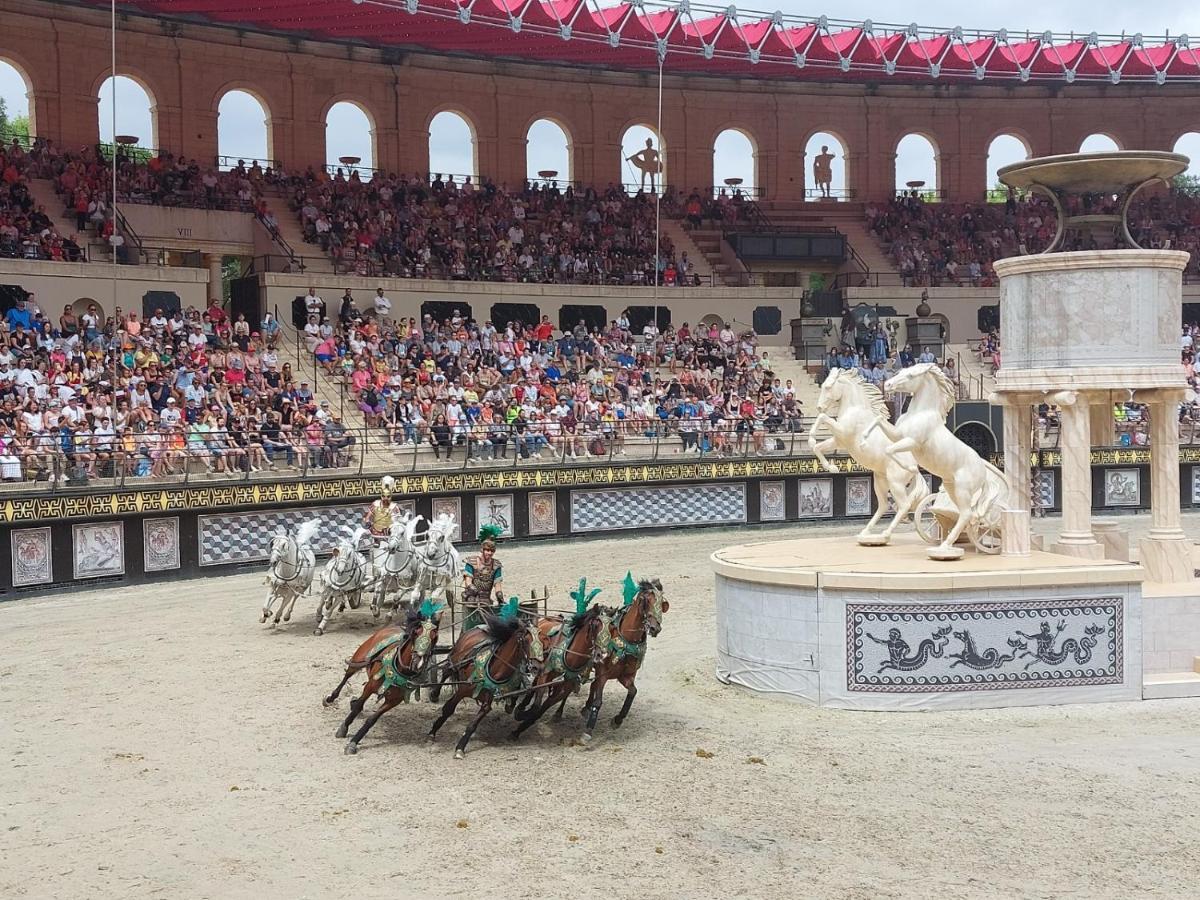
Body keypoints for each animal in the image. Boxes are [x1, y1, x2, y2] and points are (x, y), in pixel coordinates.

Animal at [324, 602, 446, 758]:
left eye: (435, 637)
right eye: (416, 633)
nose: (417, 662)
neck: (398, 670)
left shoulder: (393, 701)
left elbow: (372, 719)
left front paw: (354, 742)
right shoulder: (370, 686)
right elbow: (359, 707)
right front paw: (343, 728)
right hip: (359, 657)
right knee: (347, 676)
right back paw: (331, 698)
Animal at [427, 602, 544, 758]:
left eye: (543, 640)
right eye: (525, 640)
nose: (538, 667)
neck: (494, 671)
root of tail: (477, 628)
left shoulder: (487, 702)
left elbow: (473, 725)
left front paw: (460, 748)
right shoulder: (462, 691)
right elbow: (448, 709)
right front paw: (432, 732)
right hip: (455, 659)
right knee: (446, 670)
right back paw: (434, 693)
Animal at [580, 580, 667, 744]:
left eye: (662, 603)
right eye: (645, 601)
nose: (655, 628)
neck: (626, 643)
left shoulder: (626, 676)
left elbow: (633, 692)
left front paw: (618, 719)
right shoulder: (603, 674)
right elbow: (598, 701)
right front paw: (587, 731)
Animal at [811, 367, 931, 542]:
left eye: (828, 387)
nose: (819, 407)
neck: (855, 409)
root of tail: (914, 467)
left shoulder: (842, 433)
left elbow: (823, 418)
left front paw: (812, 435)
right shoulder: (839, 441)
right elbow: (817, 447)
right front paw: (832, 468)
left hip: (895, 484)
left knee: (903, 506)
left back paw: (885, 534)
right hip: (880, 482)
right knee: (884, 506)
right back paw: (865, 532)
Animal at [878, 362, 1008, 561]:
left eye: (910, 376)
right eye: (901, 371)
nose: (888, 385)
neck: (920, 413)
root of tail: (983, 470)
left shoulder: (910, 441)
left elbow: (889, 450)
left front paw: (910, 468)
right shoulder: (897, 434)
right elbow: (880, 425)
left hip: (963, 489)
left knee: (968, 514)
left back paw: (947, 547)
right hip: (951, 487)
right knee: (965, 514)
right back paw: (948, 543)